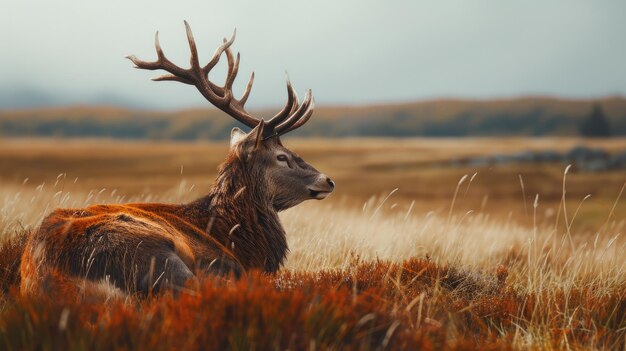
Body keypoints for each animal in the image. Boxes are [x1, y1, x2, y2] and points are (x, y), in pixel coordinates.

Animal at [18, 20, 332, 298]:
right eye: (282, 156)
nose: (328, 180)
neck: (235, 238)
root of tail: (52, 277)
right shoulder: (223, 265)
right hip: (158, 256)